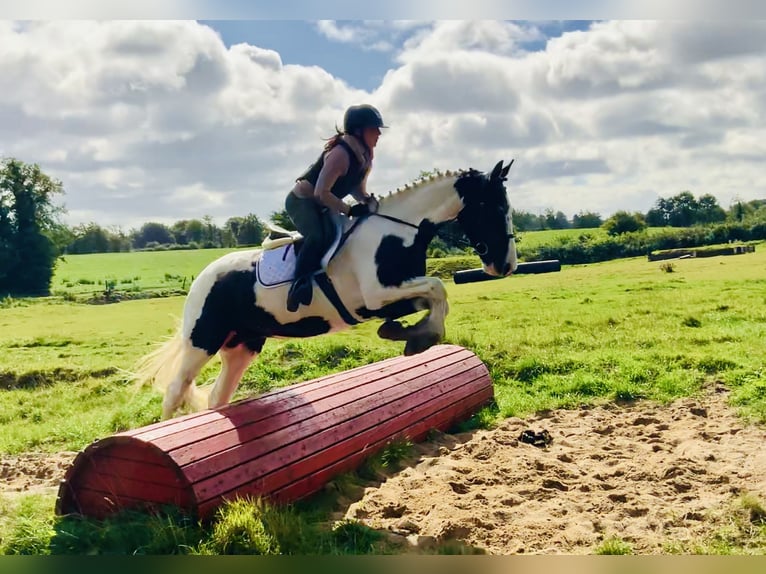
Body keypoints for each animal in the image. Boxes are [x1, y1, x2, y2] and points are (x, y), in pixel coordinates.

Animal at [136, 160, 520, 420]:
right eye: (495, 207)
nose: (507, 266)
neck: (399, 232)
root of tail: (203, 276)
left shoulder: (393, 296)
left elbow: (433, 299)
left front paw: (408, 334)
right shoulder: (376, 294)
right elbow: (439, 288)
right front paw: (418, 337)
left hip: (242, 345)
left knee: (218, 397)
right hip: (203, 339)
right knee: (176, 391)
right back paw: (164, 433)